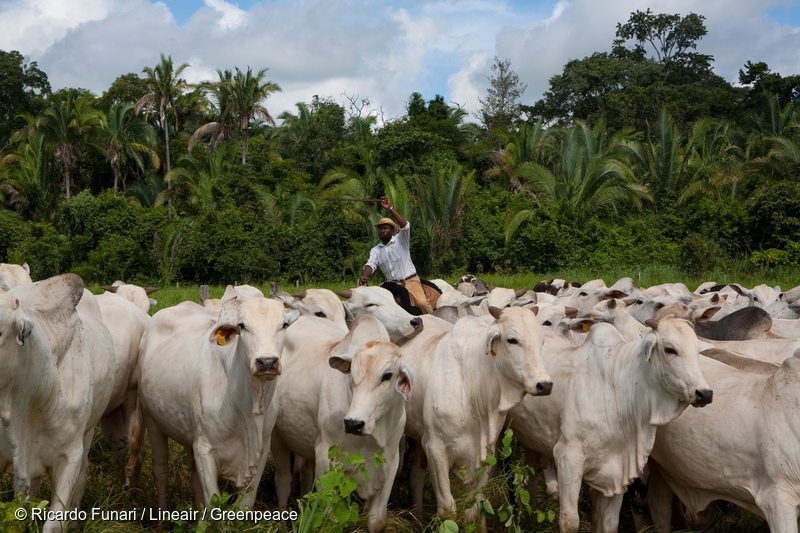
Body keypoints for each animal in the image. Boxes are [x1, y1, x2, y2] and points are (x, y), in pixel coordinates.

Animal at [139, 296, 298, 508]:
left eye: (284, 325)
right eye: (242, 326)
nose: (267, 362)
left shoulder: (260, 452)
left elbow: (245, 505)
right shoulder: (204, 450)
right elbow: (213, 503)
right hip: (152, 420)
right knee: (161, 470)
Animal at [274, 316, 412, 532]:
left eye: (387, 375)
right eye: (351, 374)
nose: (354, 423)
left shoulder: (391, 460)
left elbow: (377, 520)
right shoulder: (325, 456)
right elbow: (329, 518)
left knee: (305, 476)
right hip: (277, 438)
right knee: (283, 481)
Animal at [510, 316, 708, 532]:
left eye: (697, 351)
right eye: (670, 349)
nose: (705, 393)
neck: (620, 390)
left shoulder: (619, 470)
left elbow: (610, 523)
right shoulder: (568, 458)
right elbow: (570, 521)